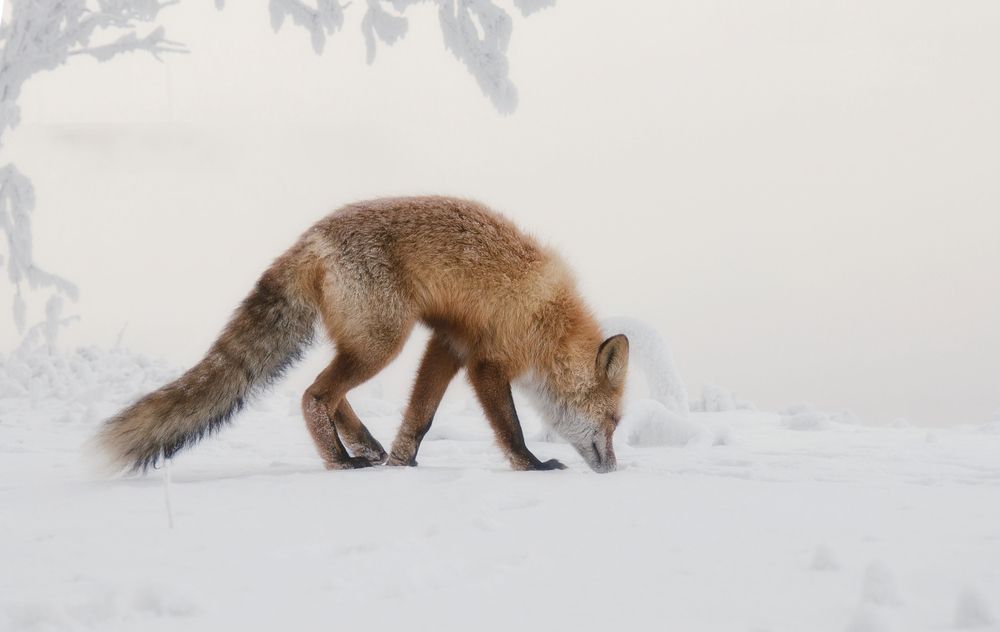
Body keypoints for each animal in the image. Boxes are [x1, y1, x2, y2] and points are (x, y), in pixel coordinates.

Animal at [95, 196, 628, 474]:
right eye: (614, 422)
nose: (614, 468)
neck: (549, 320)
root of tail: (312, 237)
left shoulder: (450, 345)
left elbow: (420, 417)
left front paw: (403, 462)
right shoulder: (487, 361)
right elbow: (510, 427)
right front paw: (532, 466)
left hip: (367, 342)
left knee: (329, 395)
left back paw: (368, 449)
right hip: (383, 343)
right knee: (314, 395)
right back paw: (340, 460)